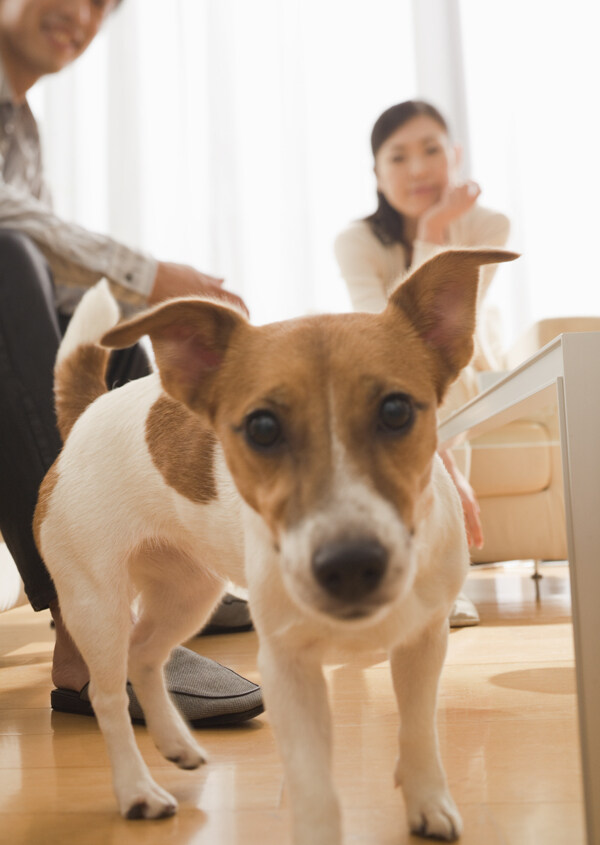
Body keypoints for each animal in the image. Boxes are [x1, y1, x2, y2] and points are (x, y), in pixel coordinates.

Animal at [34, 249, 516, 844]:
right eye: (262, 427)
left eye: (397, 411)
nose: (351, 566)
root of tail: (87, 413)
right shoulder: (291, 670)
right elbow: (313, 786)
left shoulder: (422, 644)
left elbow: (419, 732)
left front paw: (428, 801)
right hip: (95, 605)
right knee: (107, 696)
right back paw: (136, 790)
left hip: (188, 592)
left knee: (144, 654)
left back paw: (176, 742)